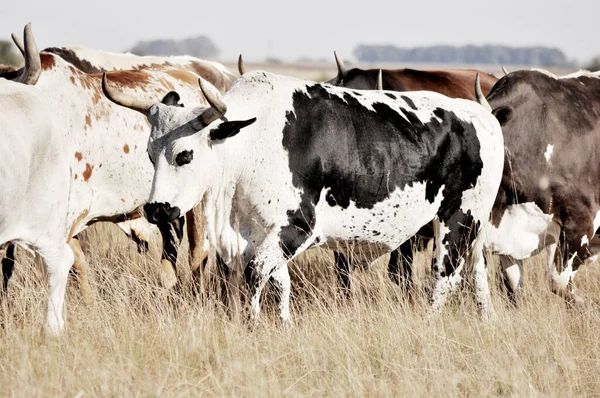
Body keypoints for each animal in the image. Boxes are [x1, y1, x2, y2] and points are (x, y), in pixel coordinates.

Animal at [104, 70, 506, 322]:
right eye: (150, 154)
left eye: (184, 154)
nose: (156, 210)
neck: (250, 142)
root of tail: (481, 115)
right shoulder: (258, 234)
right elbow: (280, 282)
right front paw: (282, 325)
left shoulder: (296, 227)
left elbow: (256, 274)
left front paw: (252, 325)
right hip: (472, 227)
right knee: (476, 273)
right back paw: (486, 318)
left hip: (457, 218)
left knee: (446, 277)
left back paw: (427, 322)